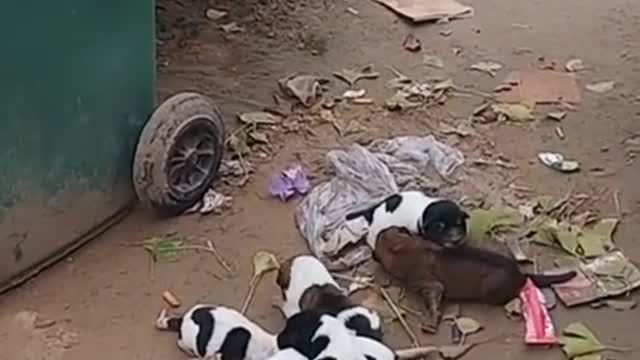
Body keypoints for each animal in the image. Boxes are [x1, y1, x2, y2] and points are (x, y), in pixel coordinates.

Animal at [372, 228, 576, 332]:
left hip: (490, 292)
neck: (405, 248)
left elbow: (434, 297)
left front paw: (432, 321)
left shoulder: (424, 282)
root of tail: (520, 274)